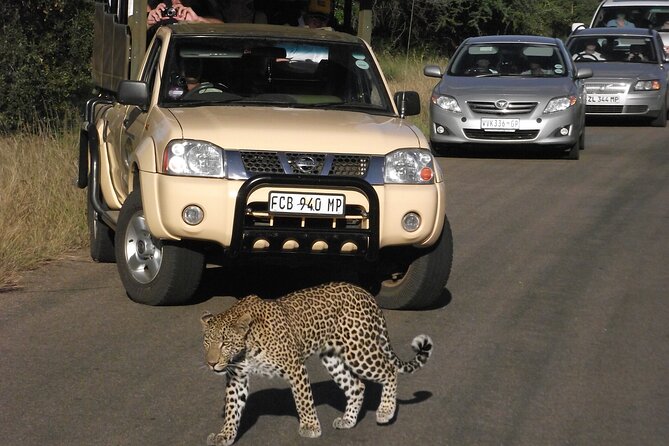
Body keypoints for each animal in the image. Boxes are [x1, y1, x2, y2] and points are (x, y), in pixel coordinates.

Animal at [201, 280, 430, 444]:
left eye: (224, 343)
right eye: (206, 343)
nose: (211, 364)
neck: (246, 347)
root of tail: (365, 293)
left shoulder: (295, 367)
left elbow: (303, 400)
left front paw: (310, 427)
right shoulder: (236, 377)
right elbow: (232, 408)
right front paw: (225, 435)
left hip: (359, 351)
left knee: (389, 370)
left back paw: (385, 411)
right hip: (333, 358)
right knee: (357, 386)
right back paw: (348, 420)